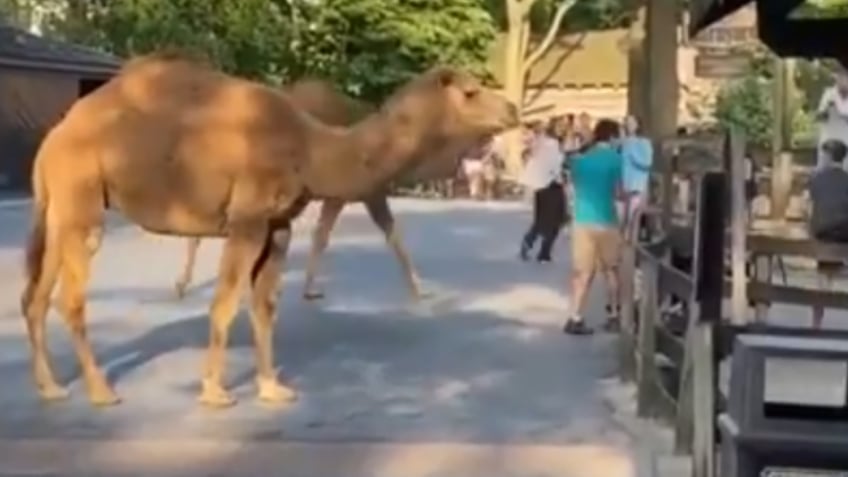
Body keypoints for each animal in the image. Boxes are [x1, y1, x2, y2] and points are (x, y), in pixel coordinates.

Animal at [173, 79, 484, 302]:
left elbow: (323, 234)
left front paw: (308, 288)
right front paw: (420, 289)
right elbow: (388, 232)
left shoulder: (343, 194)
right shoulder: (363, 192)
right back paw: (182, 284)